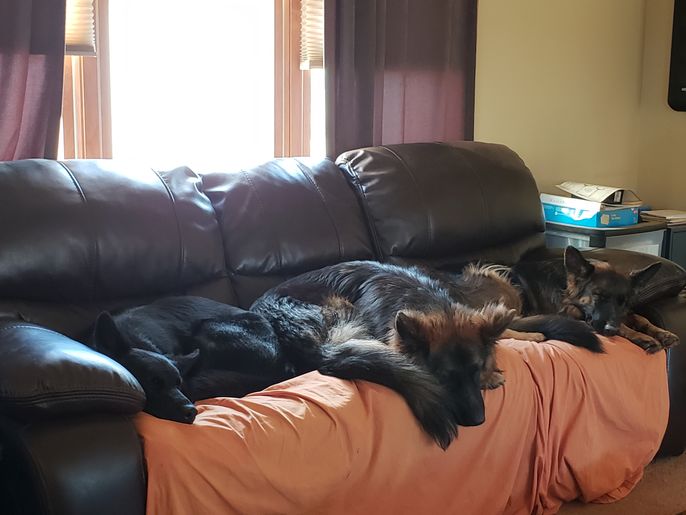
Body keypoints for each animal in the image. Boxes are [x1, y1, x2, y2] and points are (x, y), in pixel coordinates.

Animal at [88, 296, 292, 424]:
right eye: (153, 382)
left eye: (177, 383)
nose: (192, 411)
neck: (134, 339)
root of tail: (280, 366)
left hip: (208, 328)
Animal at [510, 246, 679, 353]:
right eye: (598, 295)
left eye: (624, 302)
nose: (610, 330)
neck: (564, 285)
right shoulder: (570, 311)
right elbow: (623, 325)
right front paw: (642, 337)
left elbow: (640, 317)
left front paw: (663, 333)